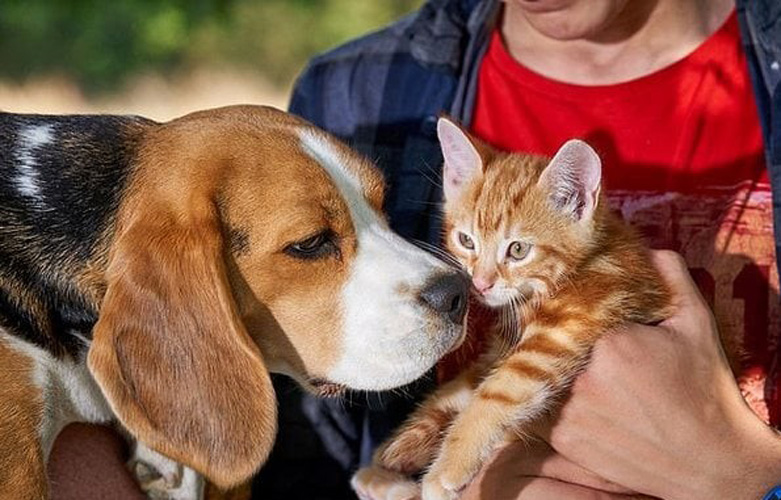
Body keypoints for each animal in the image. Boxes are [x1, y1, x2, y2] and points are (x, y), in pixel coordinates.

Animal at [352, 118, 672, 500]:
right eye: (466, 241)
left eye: (518, 250)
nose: (480, 283)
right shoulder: (497, 350)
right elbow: (458, 388)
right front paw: (401, 444)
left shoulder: (566, 328)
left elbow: (497, 393)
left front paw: (447, 467)